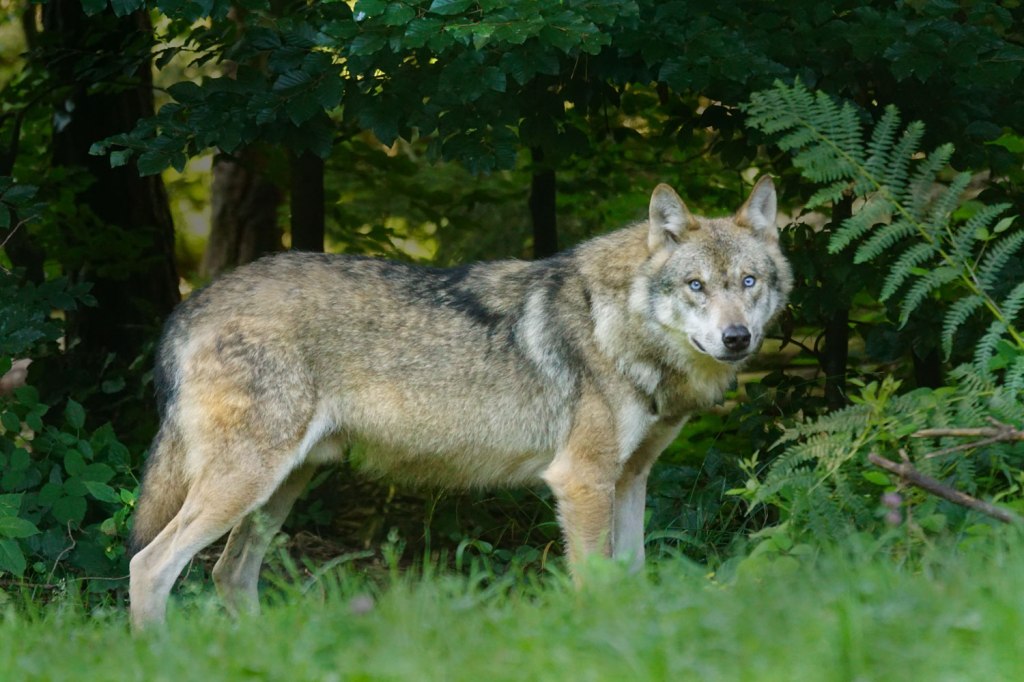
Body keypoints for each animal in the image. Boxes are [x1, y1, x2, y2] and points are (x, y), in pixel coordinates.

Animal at [128, 177, 791, 628]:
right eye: (696, 286)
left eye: (748, 282)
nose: (737, 338)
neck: (618, 325)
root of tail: (191, 304)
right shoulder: (582, 481)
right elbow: (596, 585)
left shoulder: (630, 480)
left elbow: (632, 578)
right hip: (246, 484)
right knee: (150, 565)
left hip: (280, 489)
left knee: (229, 573)